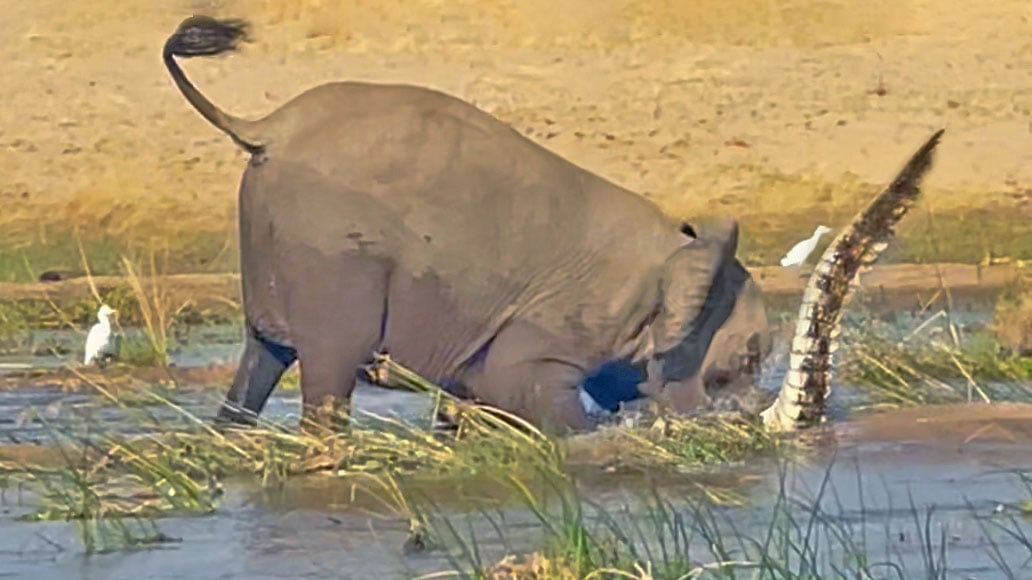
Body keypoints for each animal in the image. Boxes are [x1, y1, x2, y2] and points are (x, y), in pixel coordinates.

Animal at [161, 16, 772, 434]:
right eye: (744, 361)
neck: (676, 252)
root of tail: (266, 126)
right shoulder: (562, 320)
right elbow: (521, 385)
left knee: (260, 360)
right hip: (332, 252)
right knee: (328, 373)